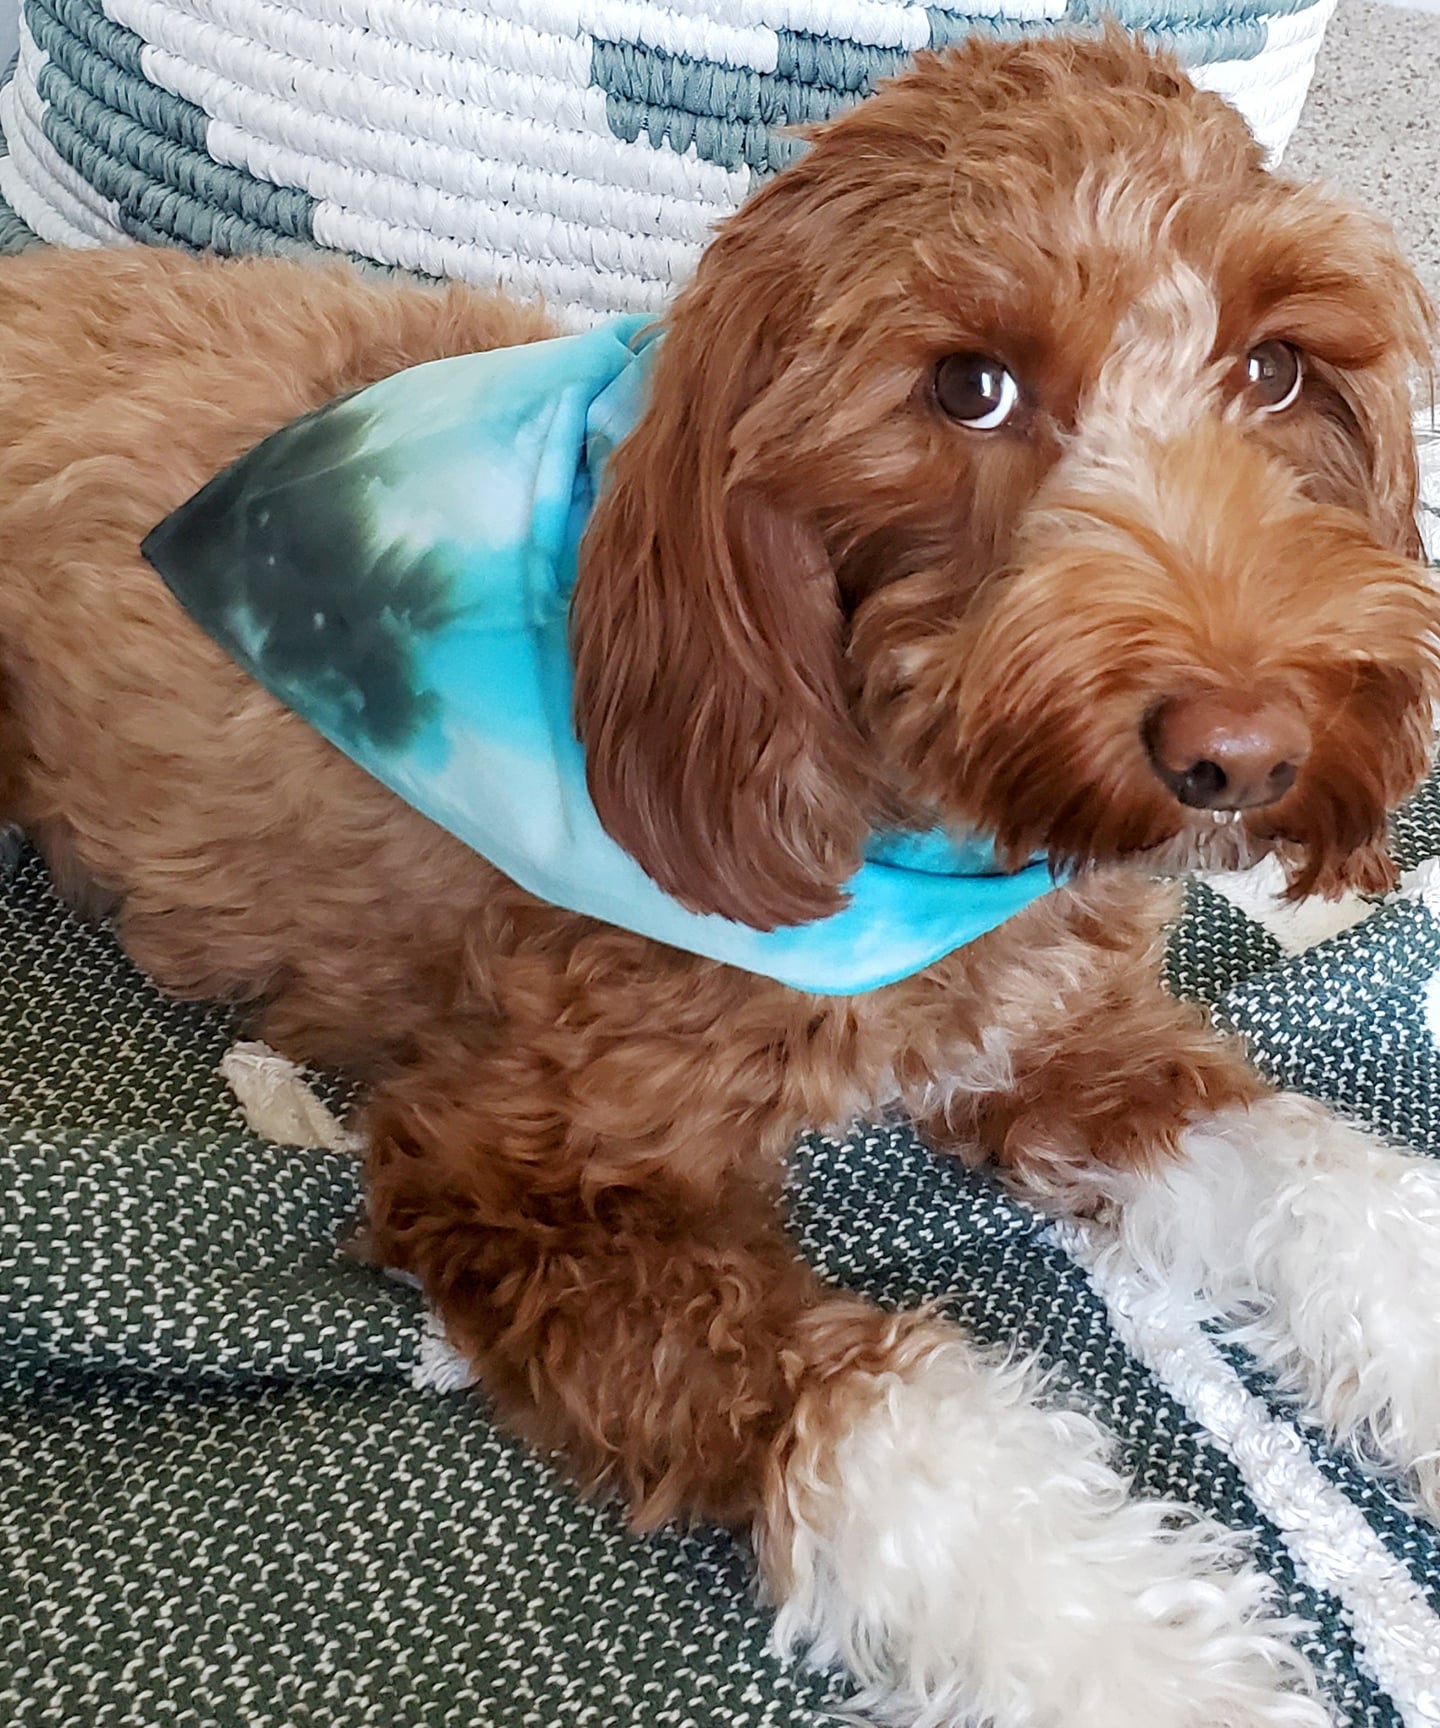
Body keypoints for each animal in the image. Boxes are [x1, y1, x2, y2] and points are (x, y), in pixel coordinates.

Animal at [2, 27, 1438, 1728]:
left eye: (1275, 366)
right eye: (969, 387)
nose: (1245, 753)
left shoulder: (1072, 1041)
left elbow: (1326, 1178)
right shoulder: (516, 1179)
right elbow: (899, 1434)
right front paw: (1146, 1668)